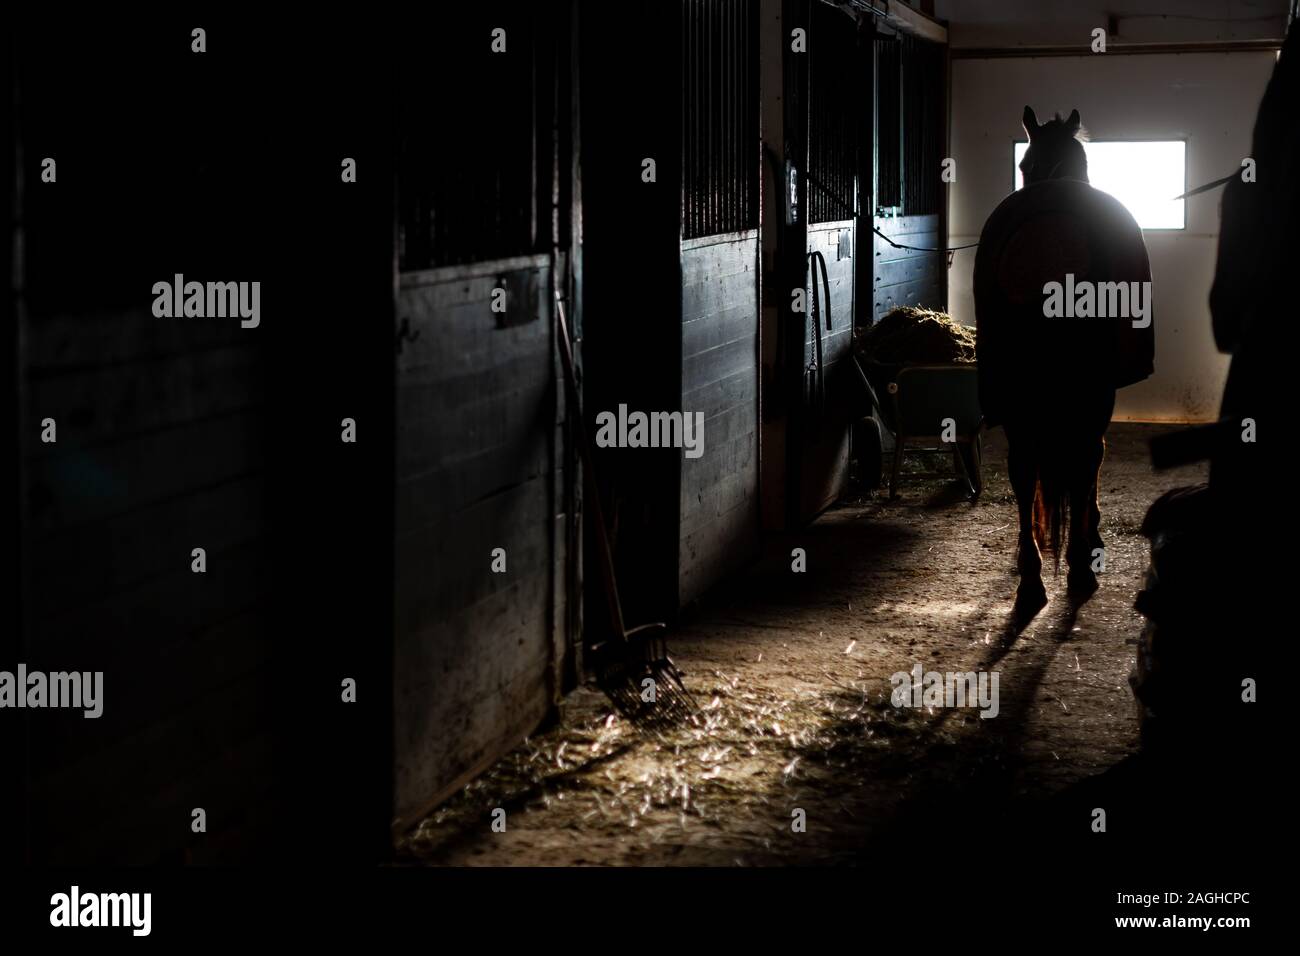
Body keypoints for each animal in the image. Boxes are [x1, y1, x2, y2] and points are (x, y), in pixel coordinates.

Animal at [977, 102, 1159, 613]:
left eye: (1023, 164)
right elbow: (1091, 460)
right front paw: (1090, 539)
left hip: (1013, 383)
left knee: (1024, 467)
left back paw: (1031, 577)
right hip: (1093, 386)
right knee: (1084, 454)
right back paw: (1078, 565)